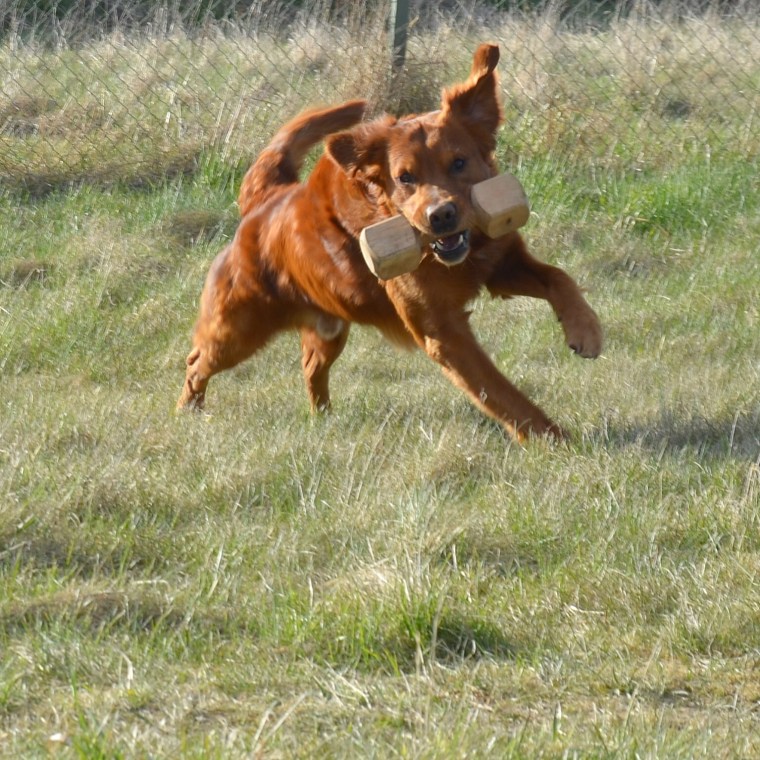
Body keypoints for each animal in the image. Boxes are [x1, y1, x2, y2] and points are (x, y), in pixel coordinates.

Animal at [177, 43, 603, 442]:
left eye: (459, 162)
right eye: (405, 178)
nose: (441, 215)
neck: (449, 258)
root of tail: (266, 200)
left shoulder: (502, 263)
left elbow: (559, 277)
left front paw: (585, 329)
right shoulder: (442, 332)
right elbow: (498, 389)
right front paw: (553, 438)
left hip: (329, 325)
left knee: (310, 366)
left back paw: (323, 417)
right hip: (238, 329)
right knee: (198, 360)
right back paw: (188, 410)